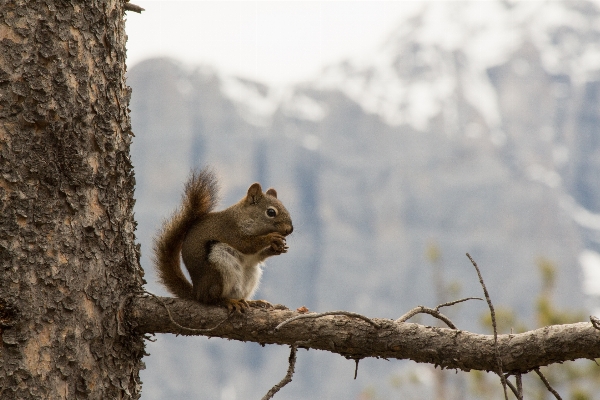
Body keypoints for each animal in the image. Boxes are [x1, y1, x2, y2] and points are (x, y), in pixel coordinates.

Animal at [154, 169, 294, 312]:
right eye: (271, 212)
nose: (290, 229)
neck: (244, 217)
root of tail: (197, 293)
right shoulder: (230, 231)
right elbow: (246, 245)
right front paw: (271, 238)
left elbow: (257, 256)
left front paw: (277, 248)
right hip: (218, 269)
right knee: (212, 299)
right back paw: (228, 301)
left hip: (250, 274)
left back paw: (254, 302)